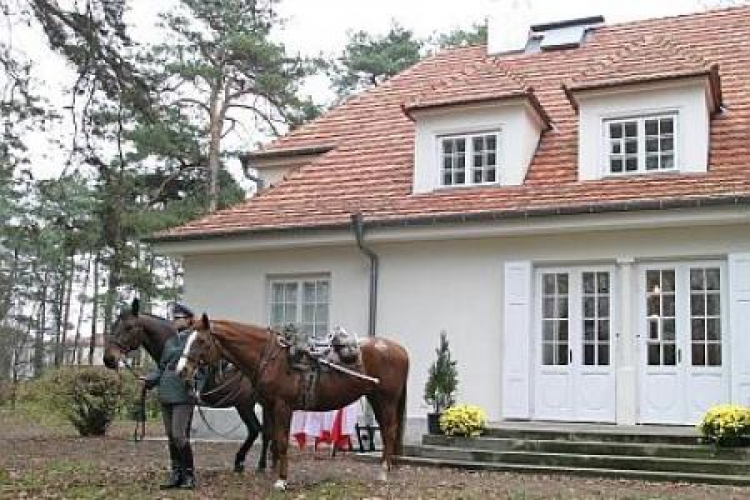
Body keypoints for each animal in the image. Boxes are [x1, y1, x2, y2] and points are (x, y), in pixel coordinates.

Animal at [102, 298, 274, 474]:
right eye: (114, 325)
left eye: (129, 327)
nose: (108, 358)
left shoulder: (188, 405)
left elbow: (183, 436)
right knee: (265, 432)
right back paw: (260, 464)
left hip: (245, 404)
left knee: (256, 430)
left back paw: (246, 462)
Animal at [177, 314, 412, 490]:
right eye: (187, 339)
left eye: (201, 341)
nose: (182, 370)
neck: (271, 357)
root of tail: (400, 350)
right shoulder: (269, 406)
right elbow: (272, 438)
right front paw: (274, 473)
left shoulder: (283, 406)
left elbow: (281, 441)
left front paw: (281, 481)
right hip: (375, 398)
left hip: (386, 400)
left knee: (389, 431)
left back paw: (383, 473)